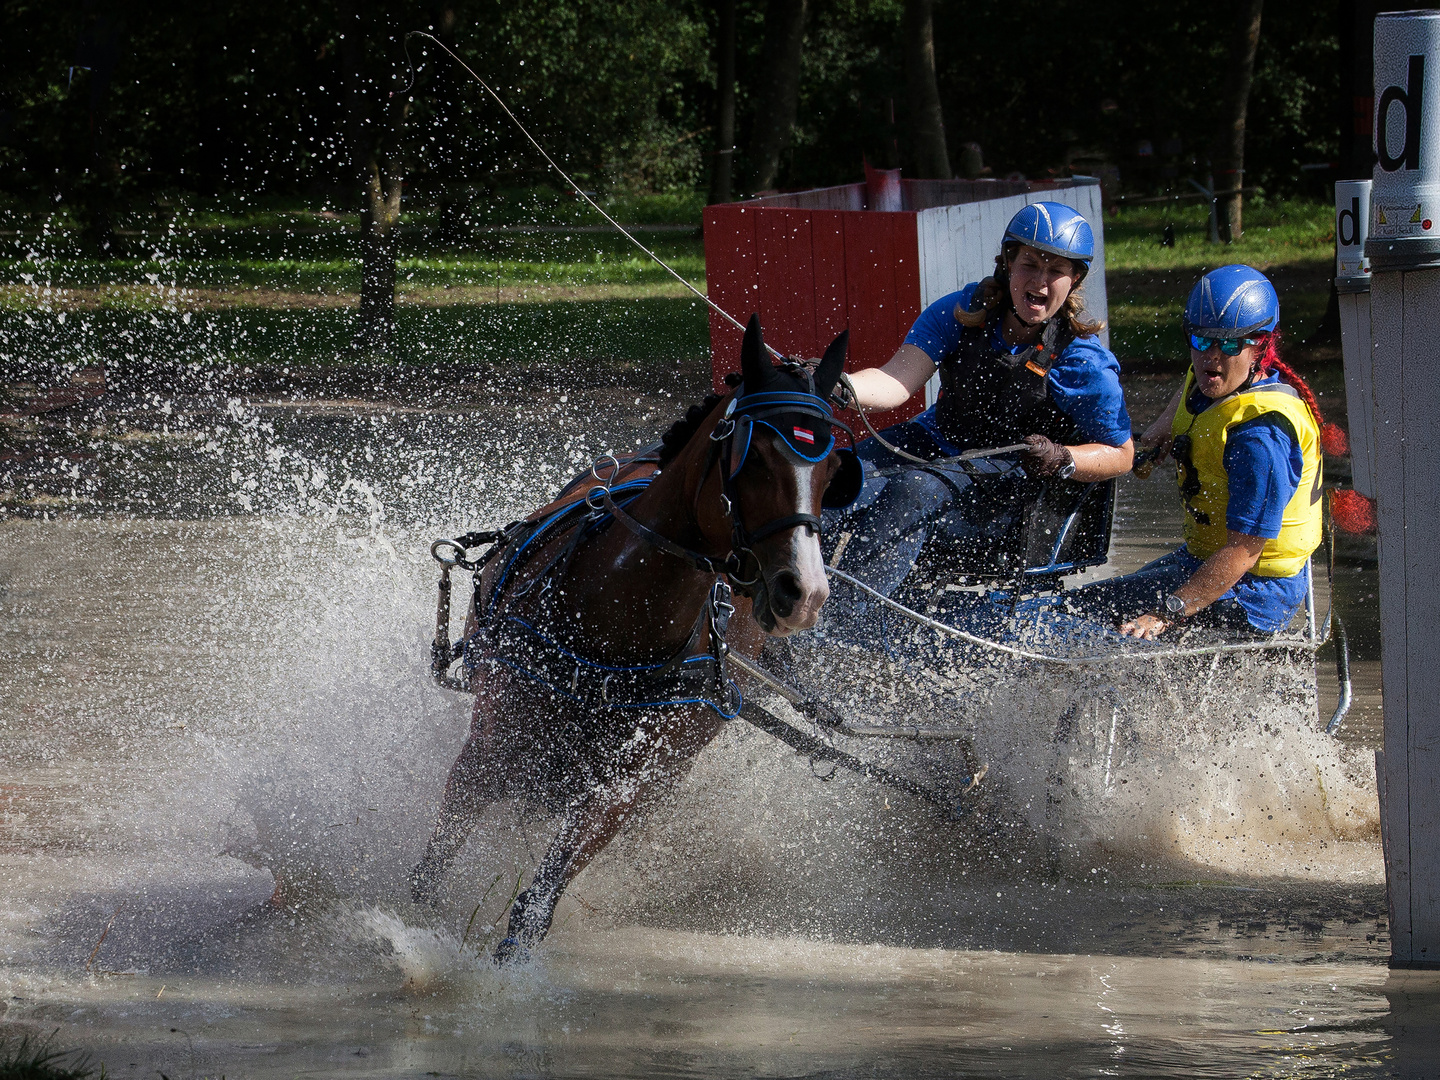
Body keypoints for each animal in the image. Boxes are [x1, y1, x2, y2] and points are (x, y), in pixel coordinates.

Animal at [408, 315, 852, 961]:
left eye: (832, 471)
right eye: (756, 457)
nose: (807, 593)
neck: (615, 614)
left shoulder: (625, 786)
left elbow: (537, 902)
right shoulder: (491, 748)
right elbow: (431, 866)